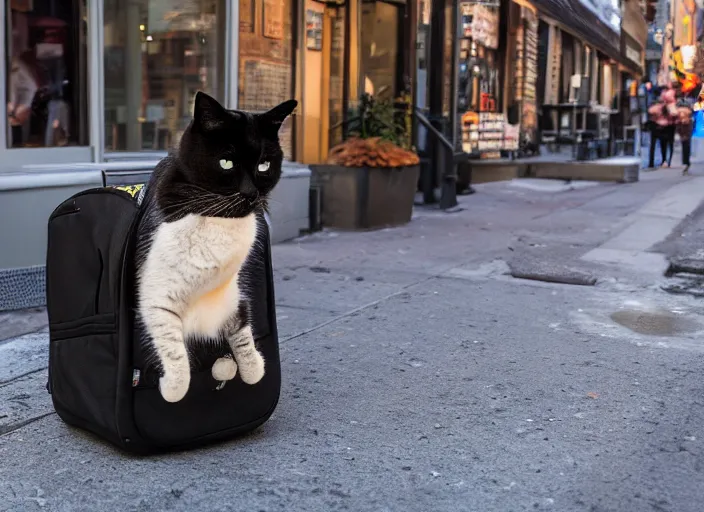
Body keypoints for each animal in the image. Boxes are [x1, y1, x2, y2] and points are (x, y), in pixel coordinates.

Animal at [133, 93, 296, 404]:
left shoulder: (233, 295)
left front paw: (253, 368)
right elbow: (172, 346)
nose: (250, 193)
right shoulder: (156, 295)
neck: (221, 217)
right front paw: (173, 387)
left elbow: (242, 330)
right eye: (226, 162)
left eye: (264, 165)